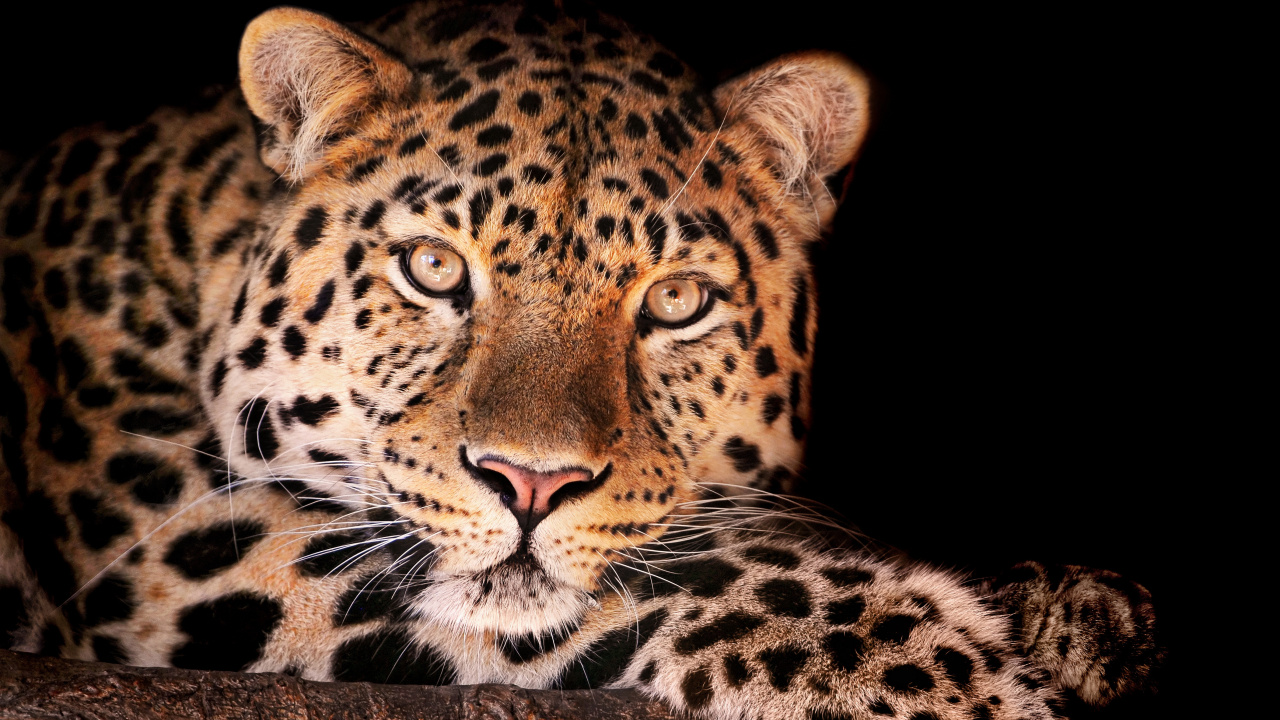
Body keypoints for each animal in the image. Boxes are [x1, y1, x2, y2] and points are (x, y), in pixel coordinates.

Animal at [0, 2, 1161, 718]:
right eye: (432, 267)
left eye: (676, 301)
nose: (529, 483)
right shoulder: (177, 539)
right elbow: (665, 568)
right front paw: (920, 666)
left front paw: (1076, 618)